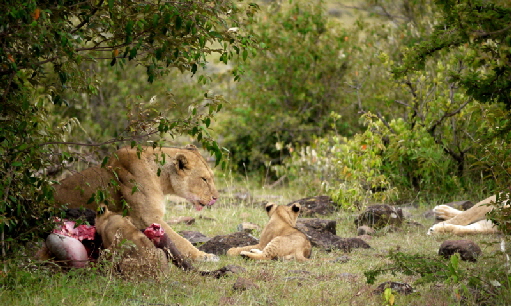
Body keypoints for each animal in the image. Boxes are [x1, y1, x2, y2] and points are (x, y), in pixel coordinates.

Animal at [54, 145, 220, 260]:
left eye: (212, 177)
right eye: (204, 179)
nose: (216, 198)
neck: (162, 179)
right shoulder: (147, 217)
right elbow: (179, 240)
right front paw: (204, 256)